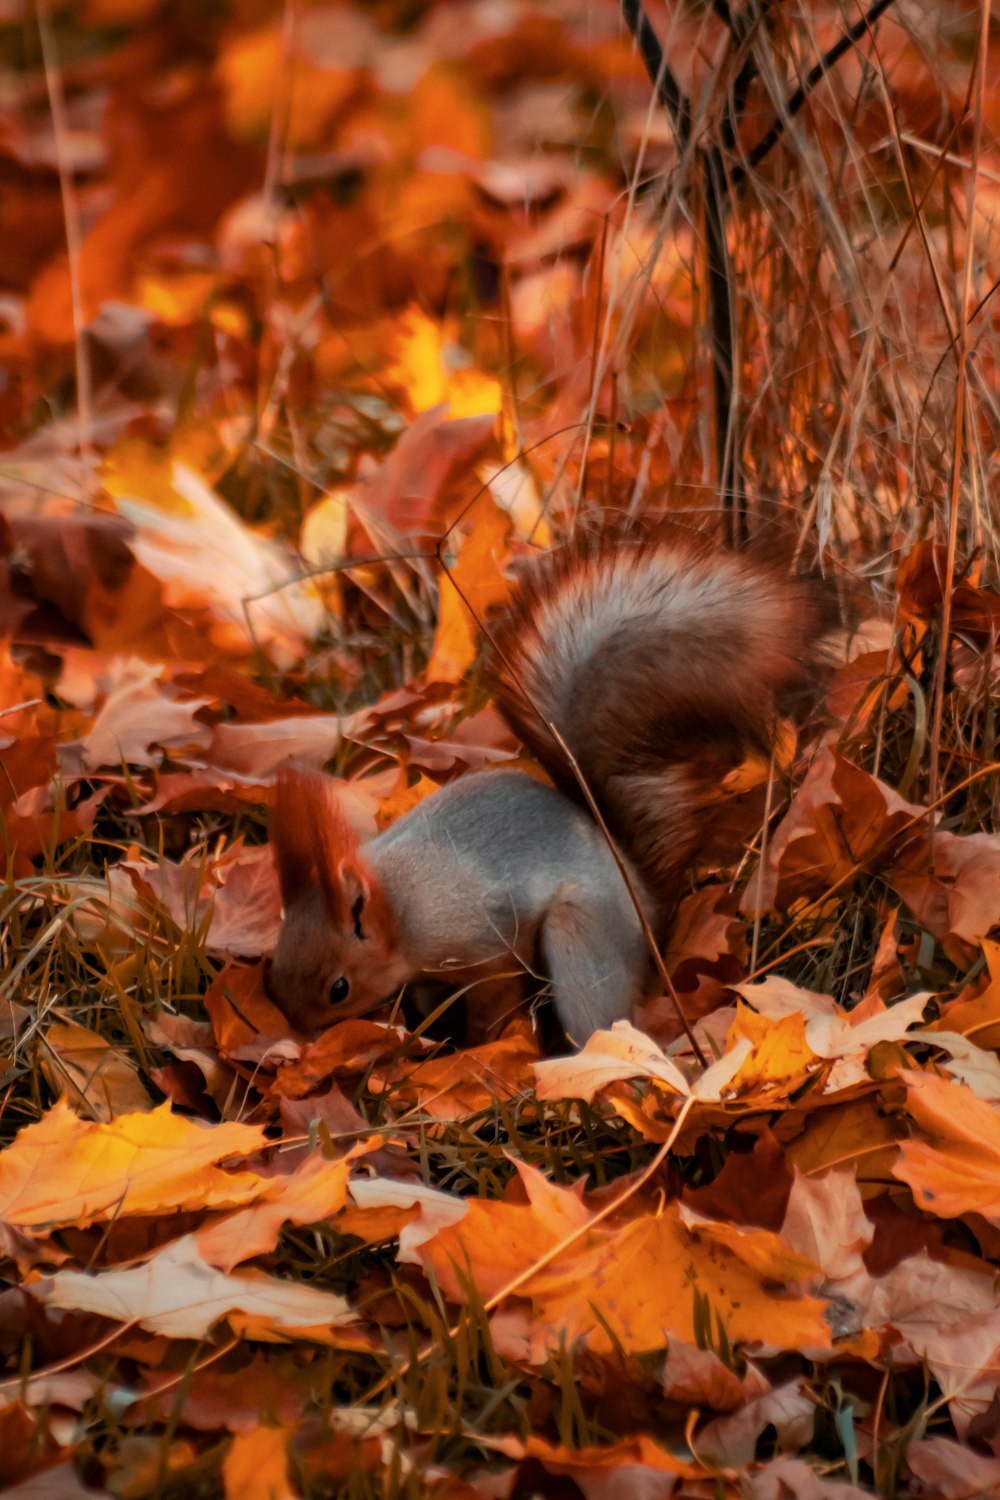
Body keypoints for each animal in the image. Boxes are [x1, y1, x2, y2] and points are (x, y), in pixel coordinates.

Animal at [265, 537, 839, 1044]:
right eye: (273, 969)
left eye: (338, 988)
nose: (303, 1036)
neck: (400, 906)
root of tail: (645, 903)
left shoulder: (484, 941)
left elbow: (494, 996)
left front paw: (479, 1043)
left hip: (578, 940)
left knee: (601, 1017)